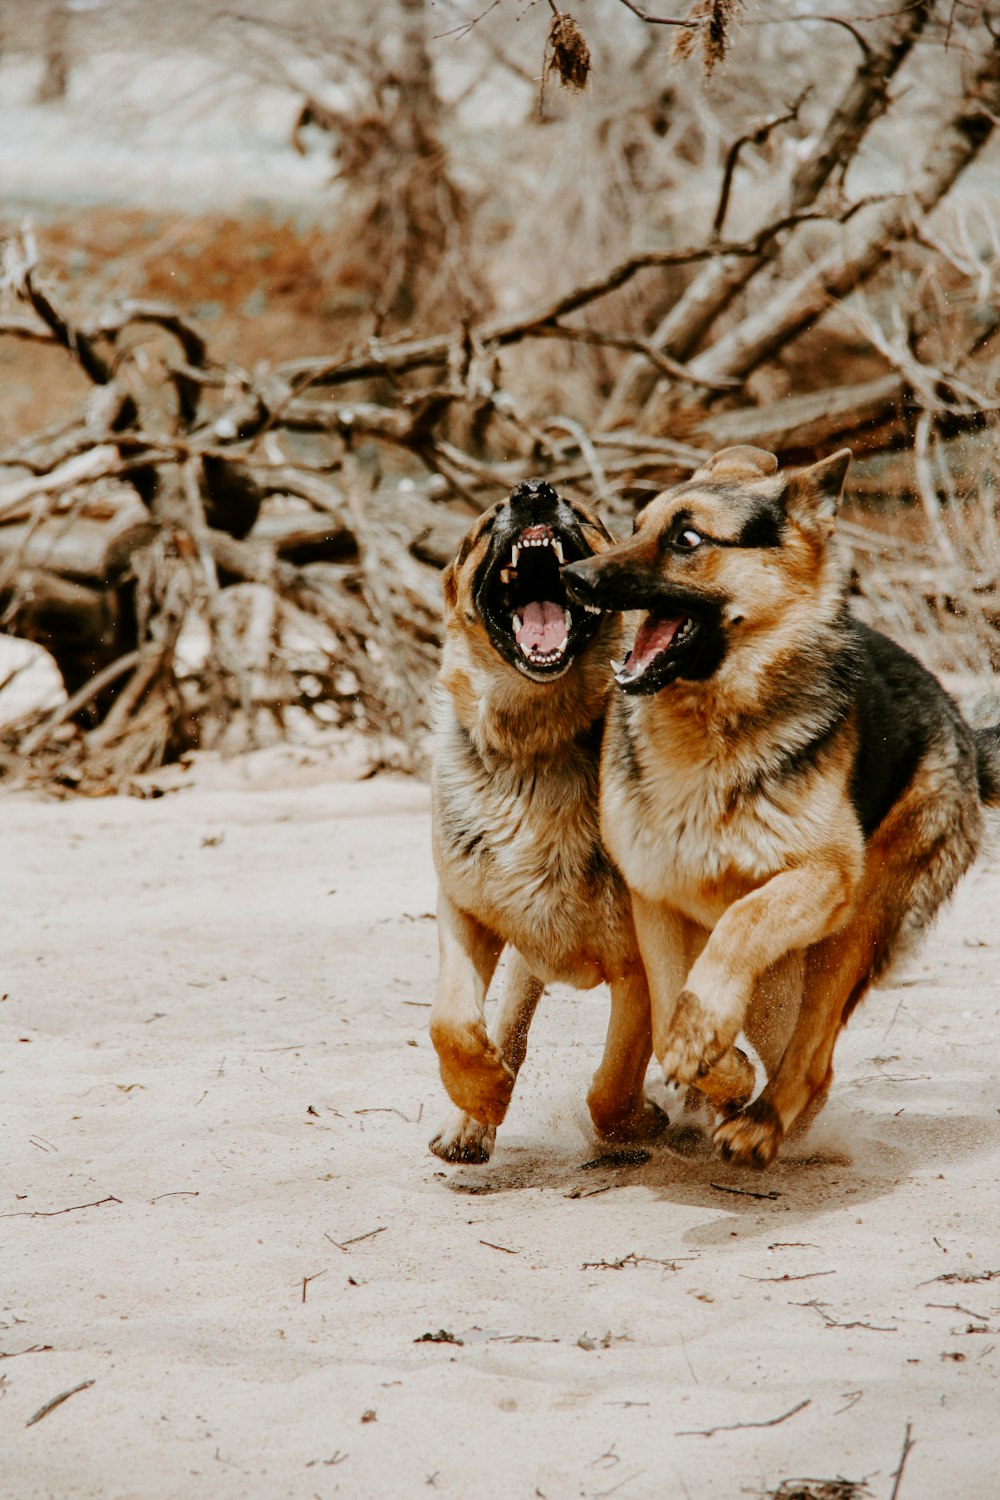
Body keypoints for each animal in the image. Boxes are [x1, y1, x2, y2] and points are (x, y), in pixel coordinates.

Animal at [425, 480, 755, 1158]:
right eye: (487, 523)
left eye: (581, 514)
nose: (532, 492)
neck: (540, 742)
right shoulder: (463, 911)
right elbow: (452, 1022)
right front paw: (482, 1097)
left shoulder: (639, 970)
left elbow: (610, 1085)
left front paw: (638, 1123)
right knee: (510, 1023)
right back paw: (475, 1117)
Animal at [563, 444, 1000, 1170]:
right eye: (635, 526)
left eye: (687, 539)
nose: (571, 578)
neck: (710, 733)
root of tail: (962, 726)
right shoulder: (654, 894)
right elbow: (665, 1002)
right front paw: (716, 1064)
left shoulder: (821, 877)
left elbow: (740, 924)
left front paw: (704, 1038)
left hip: (855, 926)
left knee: (816, 1061)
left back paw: (762, 1125)